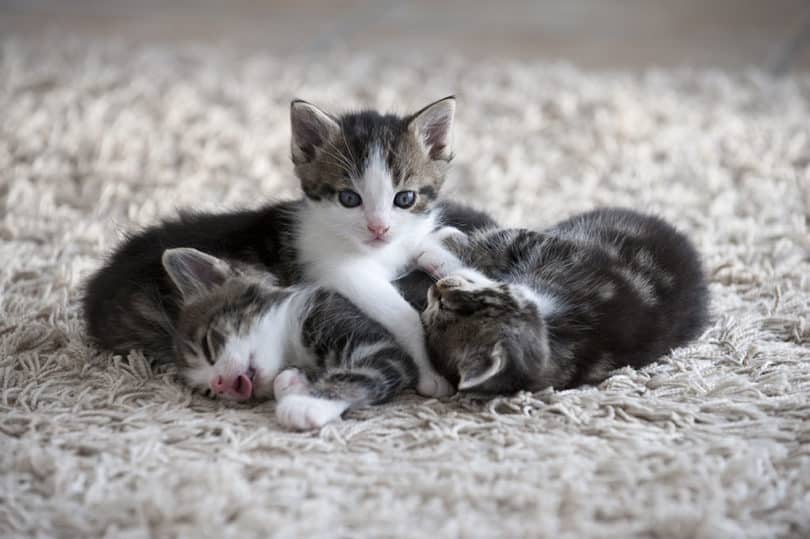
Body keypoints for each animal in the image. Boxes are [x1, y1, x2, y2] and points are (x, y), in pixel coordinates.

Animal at [83, 98, 498, 396]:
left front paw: (465, 272)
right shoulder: (340, 271)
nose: (378, 228)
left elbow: (433, 248)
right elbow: (401, 316)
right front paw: (430, 375)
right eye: (349, 199)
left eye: (405, 198)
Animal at [163, 248, 416, 430]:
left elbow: (360, 374)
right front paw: (293, 383)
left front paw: (308, 404)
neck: (292, 340)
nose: (219, 384)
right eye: (208, 392)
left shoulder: (378, 344)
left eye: (208, 345)